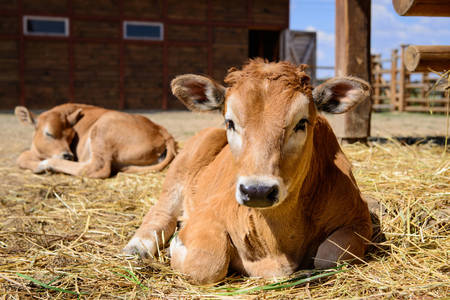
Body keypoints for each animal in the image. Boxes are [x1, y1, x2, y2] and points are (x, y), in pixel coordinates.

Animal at [14, 103, 176, 178]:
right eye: (49, 133)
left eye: (71, 136)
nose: (68, 155)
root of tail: (160, 129)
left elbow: (22, 156)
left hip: (102, 129)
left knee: (95, 168)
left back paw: (47, 165)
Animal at [123, 59, 372, 284]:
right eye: (230, 122)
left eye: (301, 123)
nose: (257, 191)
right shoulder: (209, 211)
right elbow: (206, 264)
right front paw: (176, 243)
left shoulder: (359, 219)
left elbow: (329, 257)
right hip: (180, 169)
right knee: (161, 212)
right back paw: (138, 247)